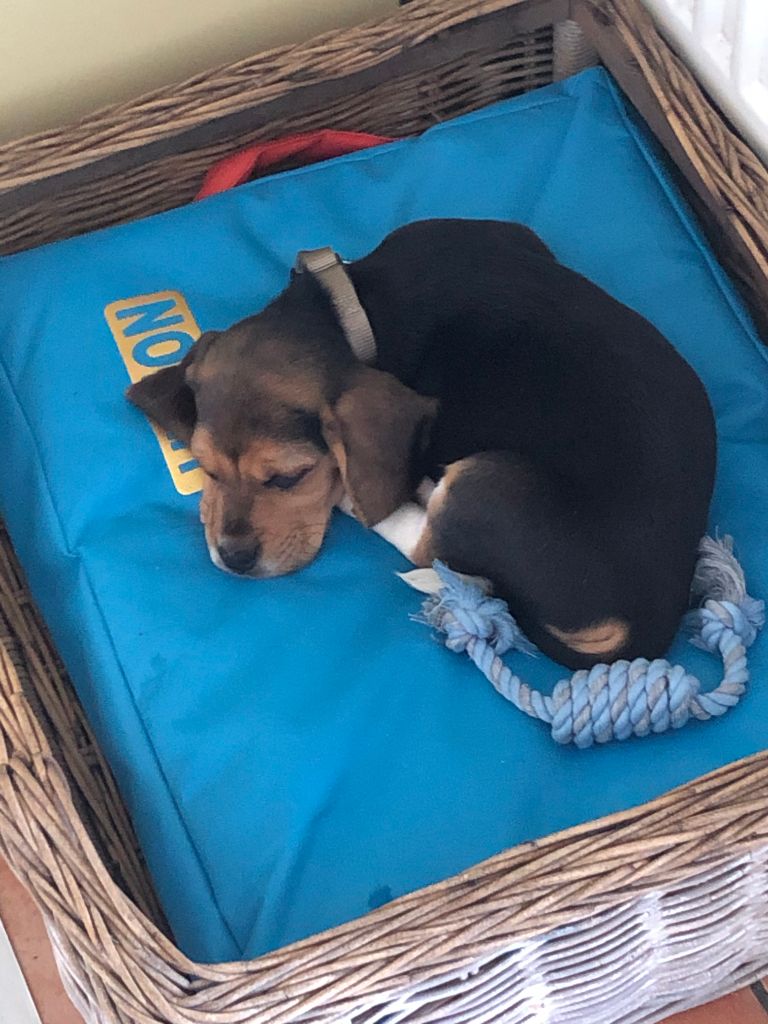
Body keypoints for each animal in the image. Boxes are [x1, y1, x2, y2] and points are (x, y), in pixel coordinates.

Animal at [128, 218, 716, 669]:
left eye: (290, 477)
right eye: (205, 468)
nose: (233, 559)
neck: (354, 311)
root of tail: (652, 618)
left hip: (489, 483)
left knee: (425, 542)